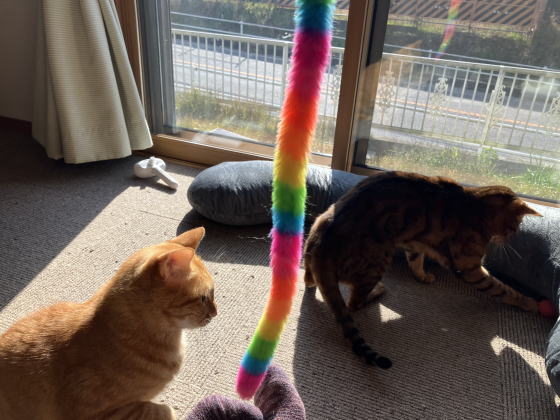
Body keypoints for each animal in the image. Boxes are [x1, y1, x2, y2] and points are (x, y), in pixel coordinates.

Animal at [303, 171, 541, 369]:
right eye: (514, 227)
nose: (509, 238)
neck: (475, 204)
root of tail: (322, 248)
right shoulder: (469, 268)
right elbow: (503, 289)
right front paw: (529, 303)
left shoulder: (414, 242)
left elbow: (416, 261)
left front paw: (423, 276)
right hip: (380, 256)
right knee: (354, 302)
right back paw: (377, 291)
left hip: (318, 232)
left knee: (309, 281)